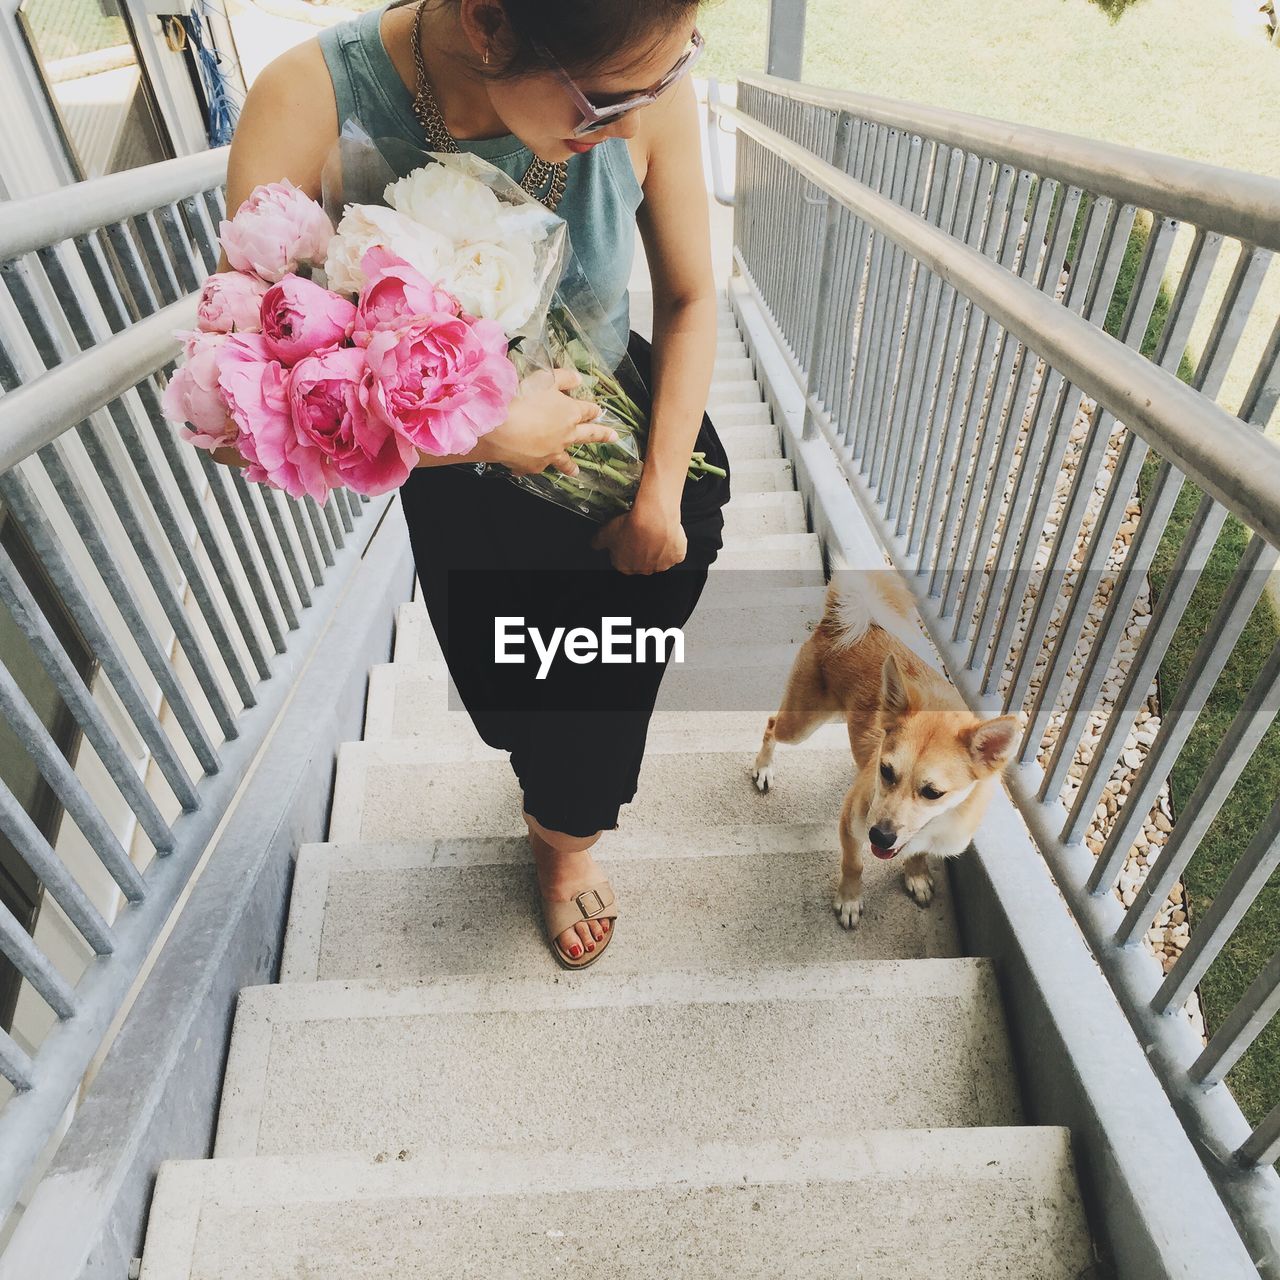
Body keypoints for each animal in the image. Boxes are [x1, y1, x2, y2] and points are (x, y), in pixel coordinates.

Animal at [747, 581, 1018, 931]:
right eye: (886, 771)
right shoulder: (850, 824)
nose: (879, 835)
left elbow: (917, 853)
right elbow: (854, 864)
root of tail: (839, 622)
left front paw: (916, 875)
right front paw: (850, 899)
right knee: (770, 725)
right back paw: (763, 768)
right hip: (801, 723)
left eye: (933, 793)